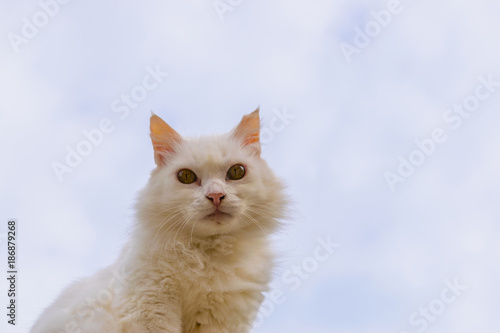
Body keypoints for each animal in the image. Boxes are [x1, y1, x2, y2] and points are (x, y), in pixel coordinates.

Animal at [31, 107, 288, 330]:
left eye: (236, 172)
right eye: (186, 177)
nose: (215, 196)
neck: (208, 254)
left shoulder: (221, 320)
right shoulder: (149, 307)